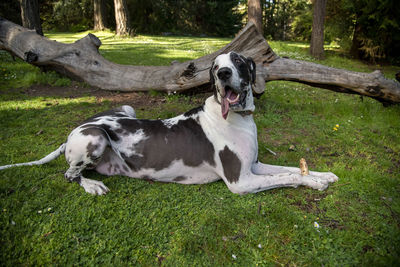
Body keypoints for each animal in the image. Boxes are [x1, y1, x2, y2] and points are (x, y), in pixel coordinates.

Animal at [0, 51, 338, 195]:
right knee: (69, 174)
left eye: (239, 61)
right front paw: (315, 183)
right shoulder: (241, 182)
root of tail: (74, 130)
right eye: (216, 66)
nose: (223, 73)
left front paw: (324, 174)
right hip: (94, 136)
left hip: (126, 108)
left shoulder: (253, 166)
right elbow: (288, 176)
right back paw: (92, 185)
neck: (238, 118)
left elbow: (291, 168)